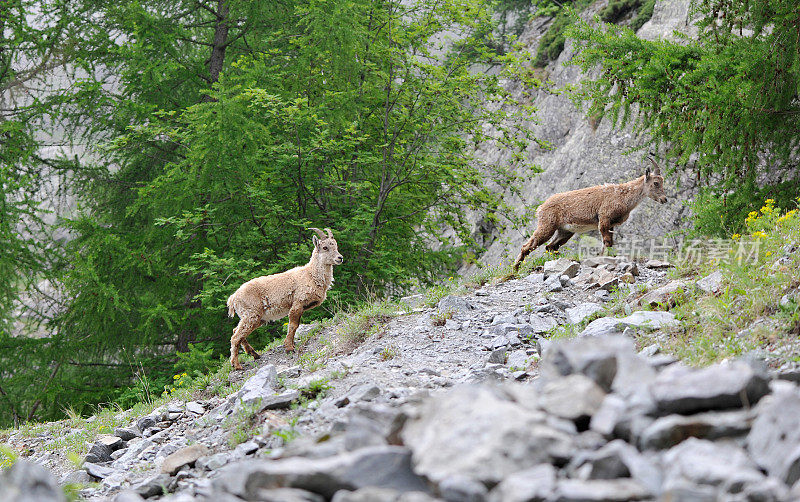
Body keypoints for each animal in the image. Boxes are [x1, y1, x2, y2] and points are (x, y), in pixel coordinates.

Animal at [225, 227, 344, 368]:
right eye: (325, 247)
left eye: (336, 245)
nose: (340, 258)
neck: (311, 275)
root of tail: (233, 298)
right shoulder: (298, 303)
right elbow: (292, 326)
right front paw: (289, 348)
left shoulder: (302, 307)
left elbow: (296, 326)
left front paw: (291, 345)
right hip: (251, 315)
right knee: (235, 337)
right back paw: (236, 365)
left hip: (256, 318)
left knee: (236, 331)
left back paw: (254, 354)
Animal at [512, 160, 668, 270]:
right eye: (656, 182)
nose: (664, 199)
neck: (623, 196)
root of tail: (541, 208)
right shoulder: (604, 218)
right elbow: (607, 242)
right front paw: (603, 259)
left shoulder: (611, 224)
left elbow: (609, 242)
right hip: (547, 225)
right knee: (528, 246)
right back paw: (515, 268)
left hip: (565, 231)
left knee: (551, 247)